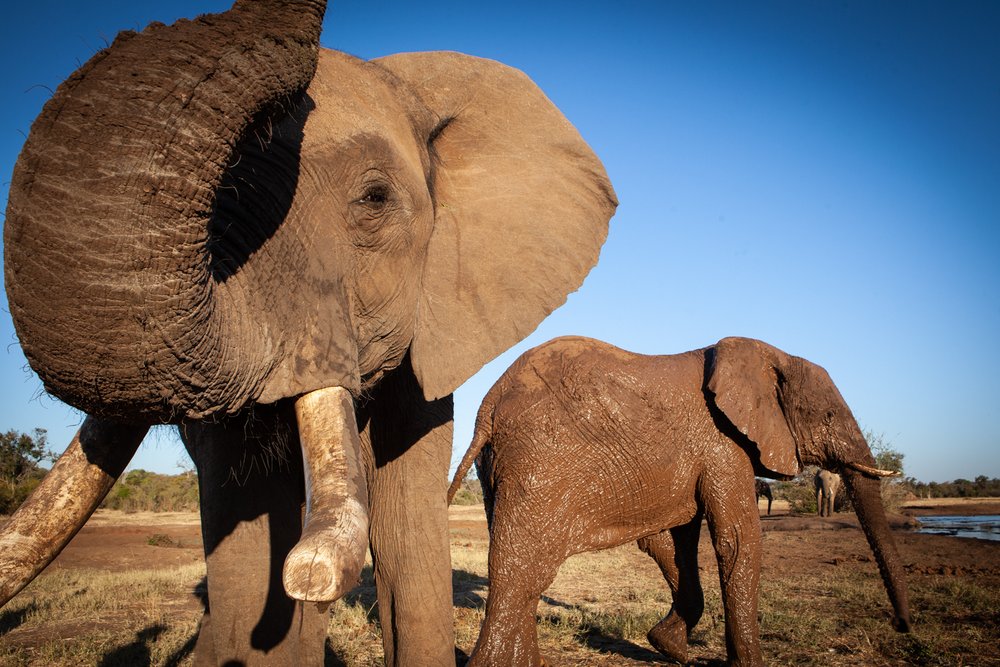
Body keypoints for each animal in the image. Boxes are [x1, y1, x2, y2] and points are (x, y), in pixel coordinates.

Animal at [454, 336, 916, 667]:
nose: (903, 626)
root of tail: (488, 407)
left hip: (499, 465)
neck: (771, 354)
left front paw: (669, 648)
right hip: (542, 463)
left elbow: (671, 543)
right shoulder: (724, 444)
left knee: (524, 573)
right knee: (522, 570)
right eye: (828, 417)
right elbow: (737, 539)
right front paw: (747, 663)